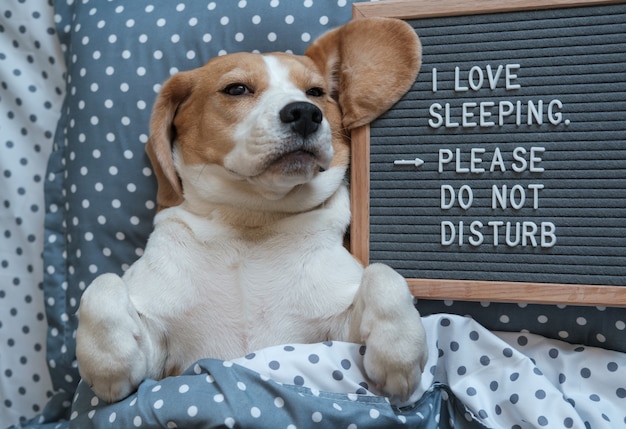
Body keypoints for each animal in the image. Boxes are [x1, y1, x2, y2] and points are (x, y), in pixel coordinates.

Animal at [75, 16, 426, 402]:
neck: (252, 219)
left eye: (316, 92)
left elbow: (384, 275)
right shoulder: (160, 357)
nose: (305, 113)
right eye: (237, 89)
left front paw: (398, 352)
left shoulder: (335, 340)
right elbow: (101, 285)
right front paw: (108, 361)